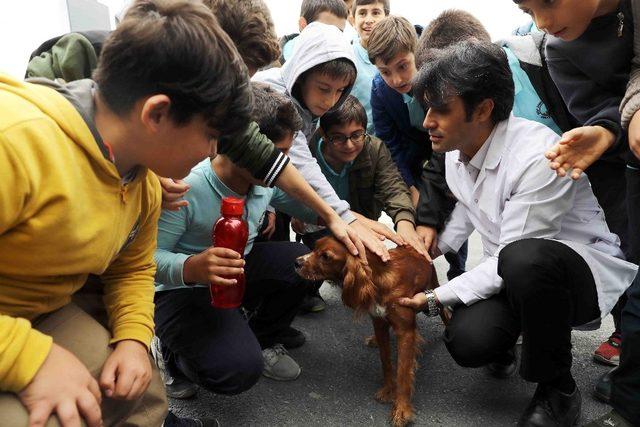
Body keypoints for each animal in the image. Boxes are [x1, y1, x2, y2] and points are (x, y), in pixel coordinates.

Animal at [294, 237, 448, 427]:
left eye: (326, 256)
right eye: (315, 247)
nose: (296, 262)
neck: (379, 280)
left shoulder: (405, 331)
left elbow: (403, 372)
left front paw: (401, 410)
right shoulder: (379, 322)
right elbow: (385, 362)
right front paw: (388, 389)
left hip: (434, 288)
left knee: (446, 312)